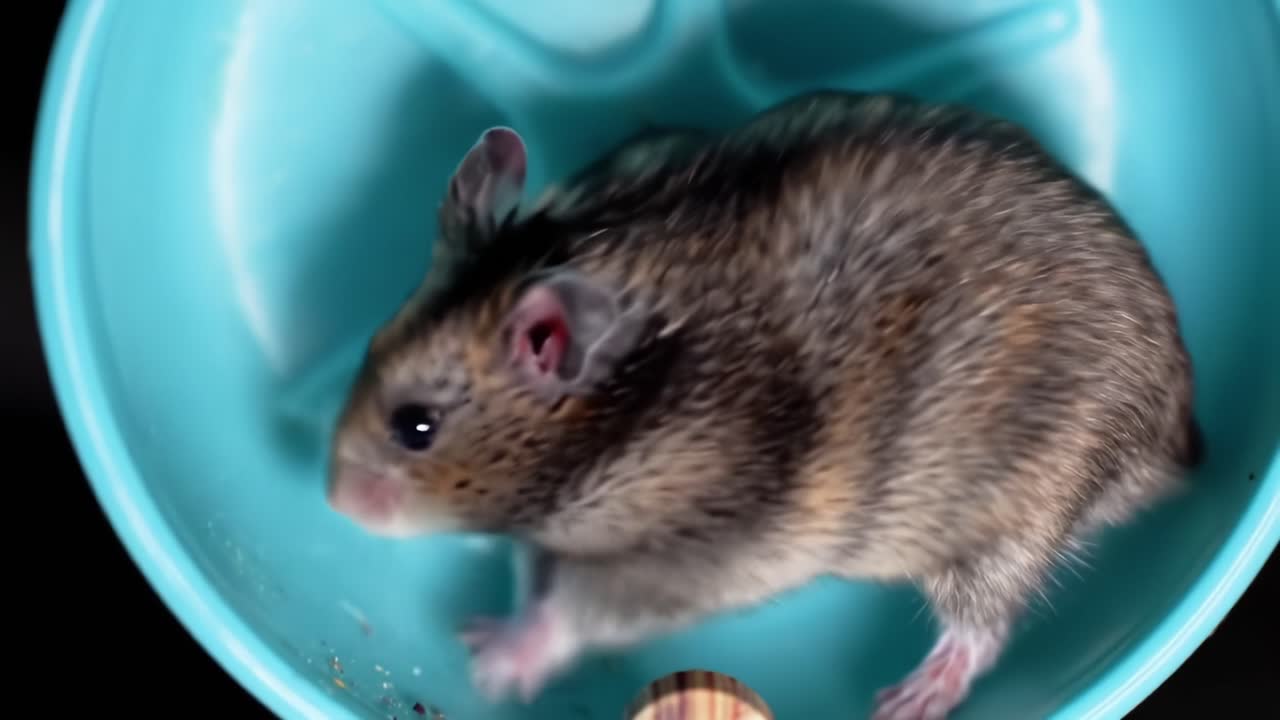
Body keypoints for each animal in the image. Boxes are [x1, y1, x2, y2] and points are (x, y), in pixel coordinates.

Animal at [325, 89, 1201, 719]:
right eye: (366, 351)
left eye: (416, 428)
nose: (331, 502)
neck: (615, 423)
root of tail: (1180, 430)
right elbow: (533, 575)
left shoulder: (696, 554)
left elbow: (575, 608)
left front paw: (492, 662)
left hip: (1014, 513)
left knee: (983, 626)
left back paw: (907, 702)